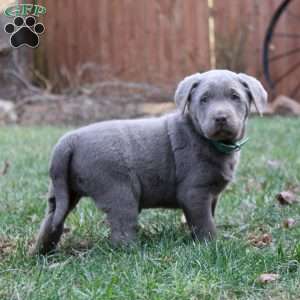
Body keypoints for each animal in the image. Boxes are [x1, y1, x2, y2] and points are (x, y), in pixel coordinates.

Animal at [32, 69, 268, 253]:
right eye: (204, 99)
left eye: (235, 97)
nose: (220, 118)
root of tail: (70, 139)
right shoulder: (194, 193)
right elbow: (205, 224)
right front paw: (211, 246)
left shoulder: (210, 195)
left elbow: (209, 217)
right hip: (119, 191)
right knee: (122, 232)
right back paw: (134, 252)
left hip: (62, 190)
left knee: (52, 220)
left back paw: (40, 253)